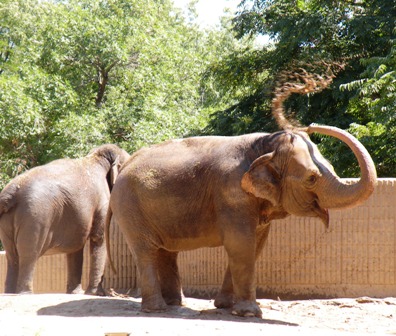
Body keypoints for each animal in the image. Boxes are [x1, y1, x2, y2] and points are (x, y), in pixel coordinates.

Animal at [0, 144, 129, 294]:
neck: (96, 157)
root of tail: (10, 193)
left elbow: (76, 248)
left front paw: (76, 293)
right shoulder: (102, 202)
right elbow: (98, 239)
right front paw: (96, 294)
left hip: (8, 221)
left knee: (12, 256)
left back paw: (10, 293)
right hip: (35, 217)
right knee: (29, 254)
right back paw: (25, 294)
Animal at [106, 124, 376, 316]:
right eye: (311, 178)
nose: (310, 126)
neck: (266, 143)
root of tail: (126, 163)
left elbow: (255, 245)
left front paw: (226, 307)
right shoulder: (231, 192)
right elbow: (240, 243)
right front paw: (249, 314)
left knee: (166, 252)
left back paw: (175, 304)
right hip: (129, 206)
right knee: (146, 251)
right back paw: (158, 309)